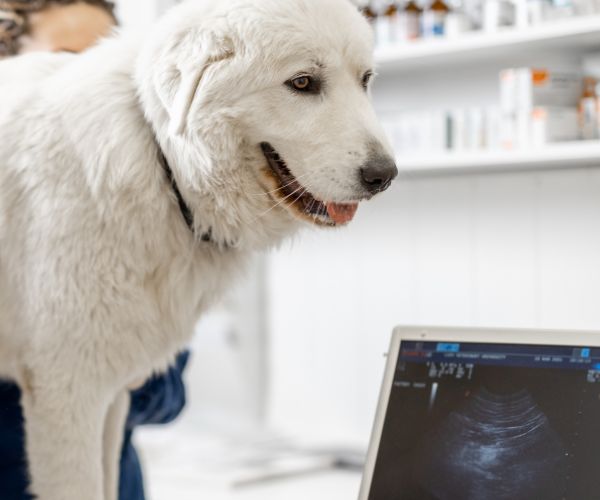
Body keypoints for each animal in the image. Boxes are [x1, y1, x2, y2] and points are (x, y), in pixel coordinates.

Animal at [0, 0, 398, 498]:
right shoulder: (68, 392)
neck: (161, 159)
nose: (385, 176)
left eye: (365, 80)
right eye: (303, 82)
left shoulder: (110, 392)